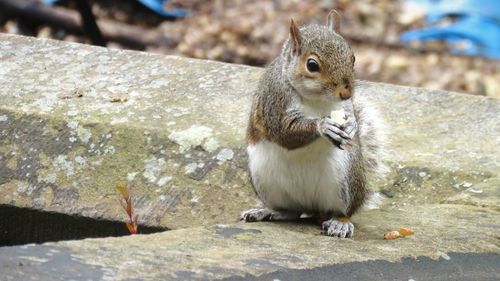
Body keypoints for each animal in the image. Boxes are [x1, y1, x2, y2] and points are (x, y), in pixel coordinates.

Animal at [239, 10, 386, 236]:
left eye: (352, 57)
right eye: (312, 65)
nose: (347, 93)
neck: (316, 98)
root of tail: (311, 207)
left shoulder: (343, 106)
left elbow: (350, 116)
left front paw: (353, 125)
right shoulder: (274, 101)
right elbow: (284, 133)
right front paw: (323, 126)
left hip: (345, 179)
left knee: (342, 210)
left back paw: (340, 222)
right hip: (264, 179)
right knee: (291, 211)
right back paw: (267, 211)